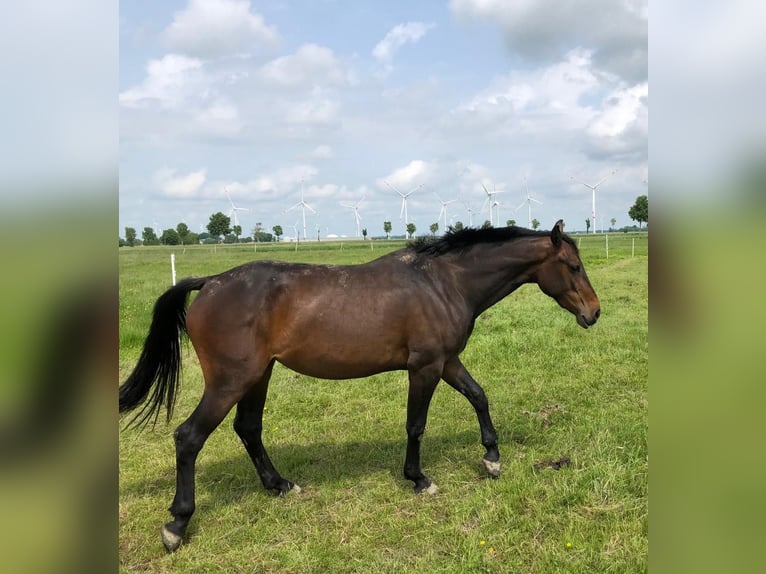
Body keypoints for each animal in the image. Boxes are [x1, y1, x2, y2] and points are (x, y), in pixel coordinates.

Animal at [119, 220, 600, 552]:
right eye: (573, 266)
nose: (593, 313)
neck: (442, 282)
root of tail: (210, 282)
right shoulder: (425, 367)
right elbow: (416, 425)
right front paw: (419, 479)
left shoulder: (447, 361)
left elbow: (479, 395)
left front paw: (492, 459)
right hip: (230, 381)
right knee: (189, 437)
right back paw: (176, 525)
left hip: (258, 376)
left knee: (248, 429)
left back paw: (280, 485)